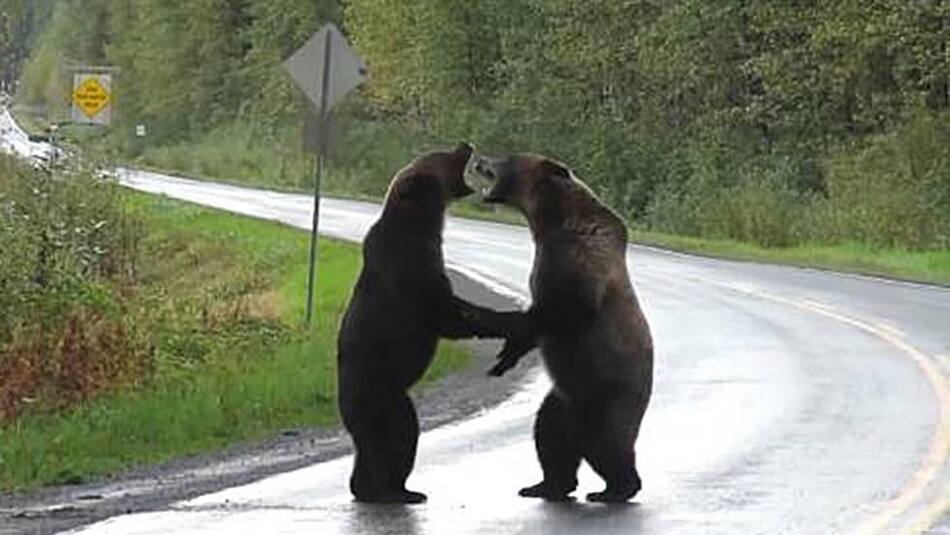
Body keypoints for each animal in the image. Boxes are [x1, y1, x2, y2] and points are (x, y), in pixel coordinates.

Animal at [337, 143, 530, 504]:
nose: (465, 143)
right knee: (397, 437)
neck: (421, 224)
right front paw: (514, 320)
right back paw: (392, 491)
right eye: (441, 154)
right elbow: (451, 314)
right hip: (383, 394)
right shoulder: (413, 269)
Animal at [473, 152, 654, 503]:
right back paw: (546, 485)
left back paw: (615, 489)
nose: (479, 159)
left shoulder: (579, 257)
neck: (548, 220)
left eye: (506, 157)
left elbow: (567, 307)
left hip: (608, 394)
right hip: (563, 399)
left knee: (605, 444)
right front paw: (506, 356)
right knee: (550, 435)